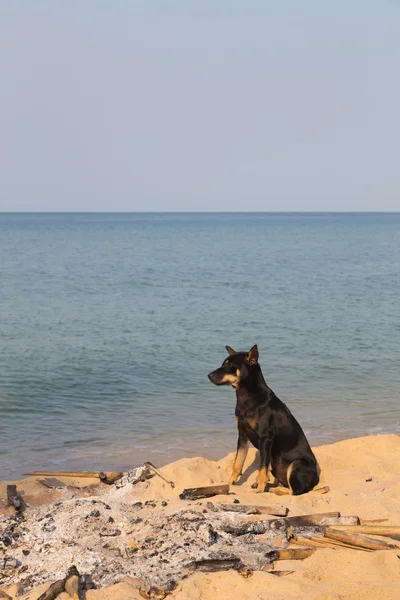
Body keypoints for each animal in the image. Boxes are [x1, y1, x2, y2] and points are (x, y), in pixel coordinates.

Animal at [208, 344, 320, 494]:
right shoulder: (243, 435)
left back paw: (270, 489)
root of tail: (315, 481)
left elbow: (261, 468)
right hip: (275, 464)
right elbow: (237, 463)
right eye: (223, 364)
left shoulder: (265, 438)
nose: (209, 375)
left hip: (296, 464)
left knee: (294, 491)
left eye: (230, 365)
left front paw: (260, 489)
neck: (246, 396)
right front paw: (230, 483)